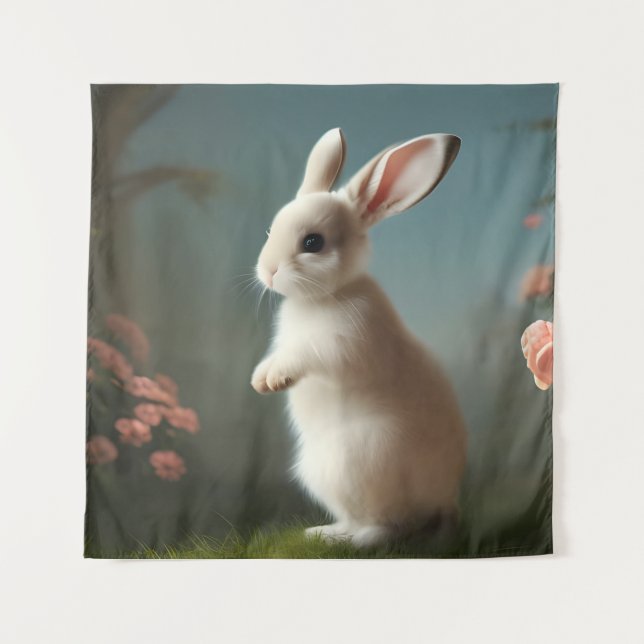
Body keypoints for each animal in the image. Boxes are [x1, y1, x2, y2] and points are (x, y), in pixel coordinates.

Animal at [251, 128, 467, 547]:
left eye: (313, 243)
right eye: (269, 230)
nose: (267, 271)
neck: (325, 295)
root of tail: (441, 503)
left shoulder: (347, 342)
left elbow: (307, 355)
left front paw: (274, 379)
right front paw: (260, 377)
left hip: (356, 461)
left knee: (387, 527)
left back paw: (345, 541)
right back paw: (321, 533)